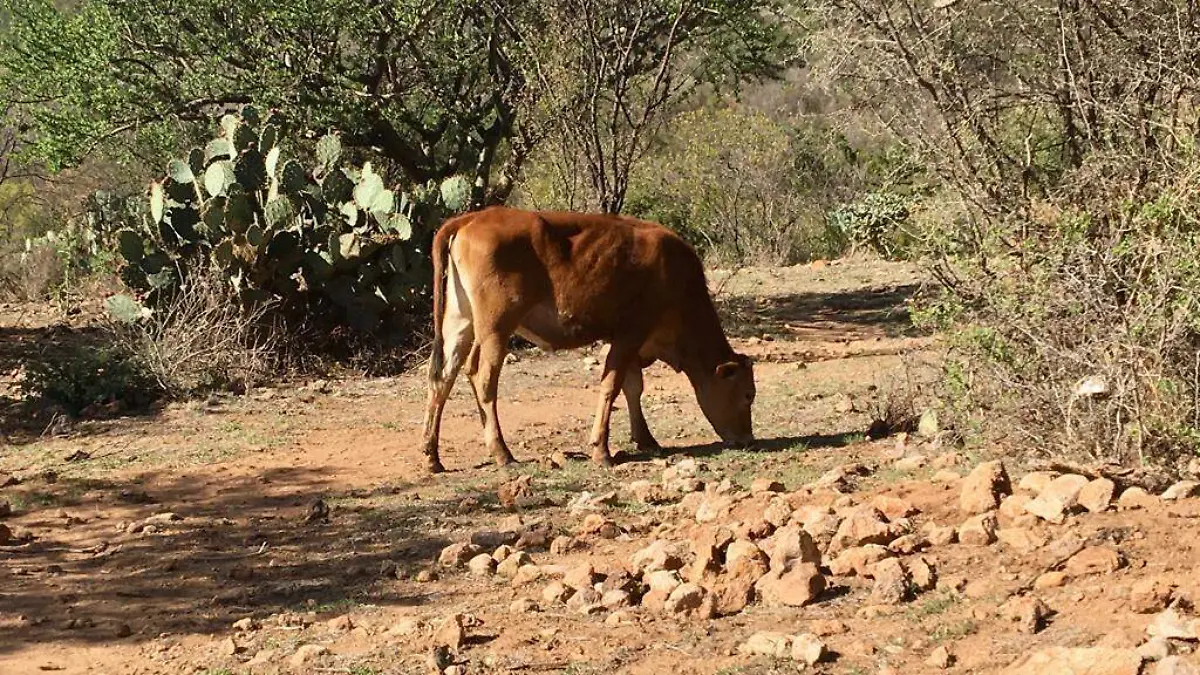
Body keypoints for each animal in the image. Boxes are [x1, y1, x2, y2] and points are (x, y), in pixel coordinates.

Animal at [420, 206, 748, 473]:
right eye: (746, 396)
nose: (747, 439)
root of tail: (473, 217)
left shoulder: (628, 342)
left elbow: (633, 387)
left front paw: (646, 439)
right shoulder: (630, 333)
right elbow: (612, 386)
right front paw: (601, 450)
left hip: (460, 323)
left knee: (443, 377)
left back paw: (432, 456)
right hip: (496, 328)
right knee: (483, 378)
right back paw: (502, 453)